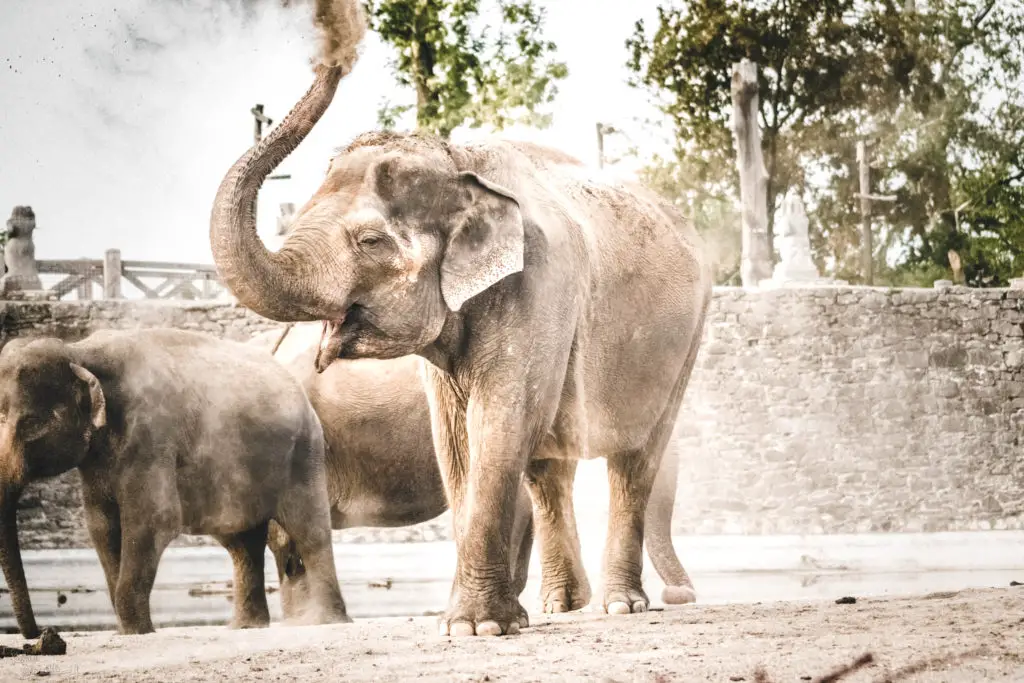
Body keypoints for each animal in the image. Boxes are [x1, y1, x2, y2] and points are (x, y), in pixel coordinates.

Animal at [0, 327, 348, 638]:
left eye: (30, 424)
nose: (44, 635)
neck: (79, 351)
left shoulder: (151, 436)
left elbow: (153, 520)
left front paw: (137, 632)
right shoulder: (96, 459)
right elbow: (101, 526)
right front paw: (128, 631)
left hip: (304, 456)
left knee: (310, 534)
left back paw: (327, 621)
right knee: (241, 543)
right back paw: (245, 627)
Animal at [209, 0, 712, 638]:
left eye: (370, 241)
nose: (337, 54)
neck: (458, 162)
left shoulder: (540, 283)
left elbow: (498, 420)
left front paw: (478, 627)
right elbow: (457, 440)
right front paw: (482, 623)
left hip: (686, 338)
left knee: (634, 460)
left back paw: (619, 605)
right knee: (548, 469)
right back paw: (560, 606)